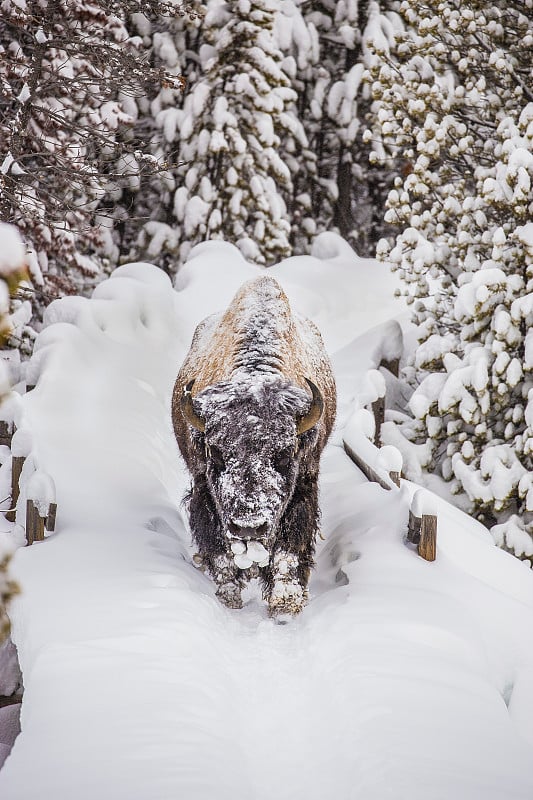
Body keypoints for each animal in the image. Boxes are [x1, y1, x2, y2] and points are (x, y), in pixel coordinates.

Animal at [172, 276, 334, 620]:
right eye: (217, 452)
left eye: (284, 454)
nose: (249, 527)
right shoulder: (203, 489)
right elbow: (218, 548)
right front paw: (229, 598)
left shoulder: (304, 486)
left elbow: (289, 547)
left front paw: (285, 603)